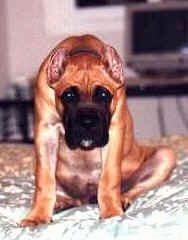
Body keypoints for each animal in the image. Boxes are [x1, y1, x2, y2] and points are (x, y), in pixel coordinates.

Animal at [19, 34, 176, 226]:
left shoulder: (114, 131)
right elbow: (44, 180)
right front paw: (38, 216)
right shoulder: (46, 132)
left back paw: (122, 200)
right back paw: (62, 202)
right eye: (68, 96)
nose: (87, 122)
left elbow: (109, 178)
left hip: (165, 155)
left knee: (135, 188)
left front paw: (111, 212)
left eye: (103, 95)